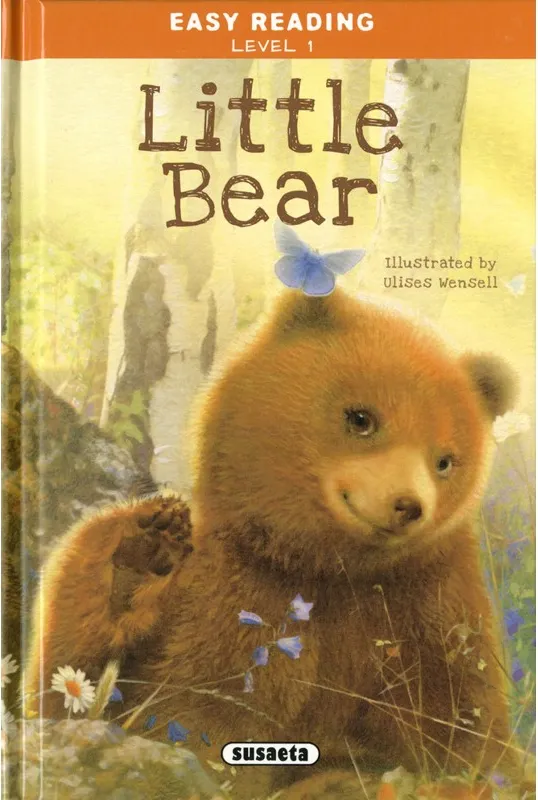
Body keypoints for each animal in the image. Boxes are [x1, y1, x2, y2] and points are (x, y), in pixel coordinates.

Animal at [25, 288, 523, 798]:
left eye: (445, 461)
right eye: (361, 418)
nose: (407, 504)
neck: (329, 569)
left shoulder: (432, 612)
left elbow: (463, 731)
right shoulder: (233, 586)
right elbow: (71, 682)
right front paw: (141, 554)